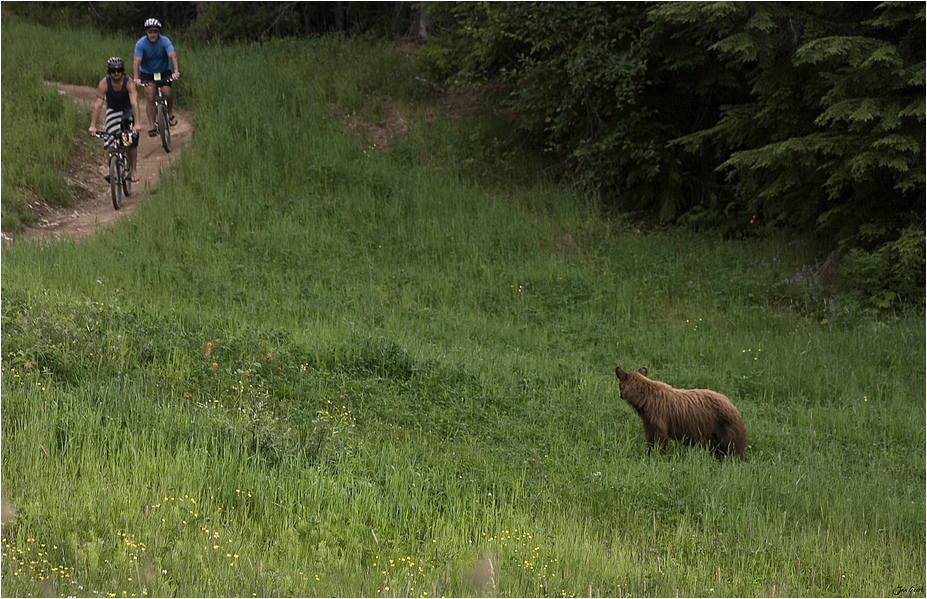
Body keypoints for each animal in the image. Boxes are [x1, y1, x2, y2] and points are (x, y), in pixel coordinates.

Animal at [616, 366, 748, 460]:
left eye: (619, 385)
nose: (620, 395)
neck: (646, 400)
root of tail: (734, 407)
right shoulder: (648, 420)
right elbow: (650, 438)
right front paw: (648, 453)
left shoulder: (658, 415)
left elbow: (661, 438)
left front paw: (658, 456)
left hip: (726, 428)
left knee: (732, 449)